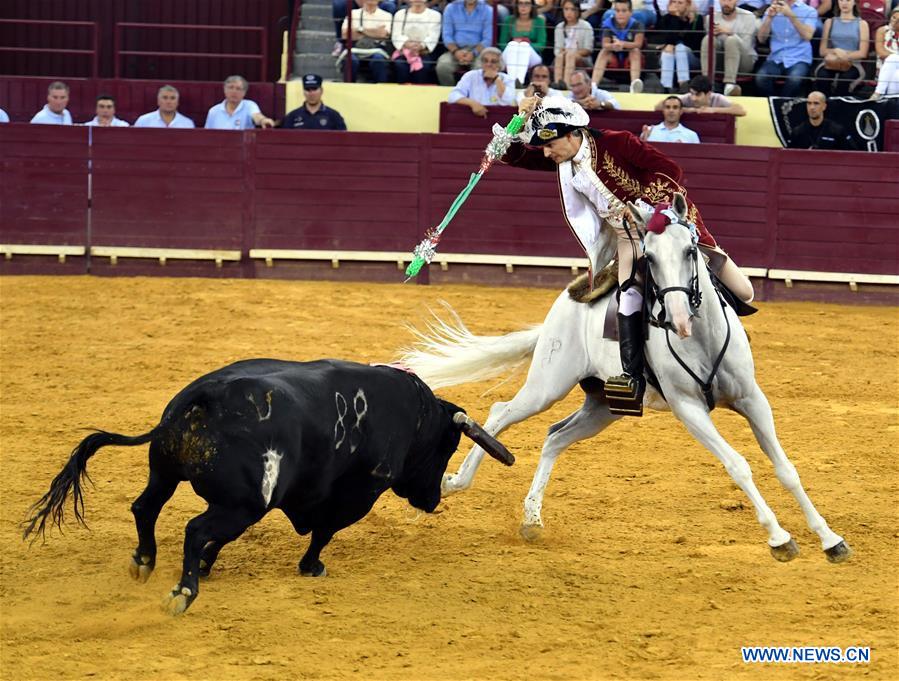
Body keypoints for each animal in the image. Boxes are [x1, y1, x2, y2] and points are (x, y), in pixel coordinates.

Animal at [22, 358, 512, 612]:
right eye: (447, 447)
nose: (433, 499)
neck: (410, 413)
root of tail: (204, 396)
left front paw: (207, 565)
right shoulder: (358, 496)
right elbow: (323, 532)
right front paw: (312, 566)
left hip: (167, 474)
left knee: (146, 508)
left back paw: (145, 561)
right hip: (241, 504)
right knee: (194, 529)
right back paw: (183, 592)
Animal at [404, 193, 856, 564]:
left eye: (691, 250)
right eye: (648, 259)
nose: (677, 319)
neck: (703, 338)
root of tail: (566, 303)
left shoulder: (753, 400)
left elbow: (786, 468)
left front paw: (830, 539)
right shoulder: (689, 409)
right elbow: (738, 465)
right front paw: (780, 538)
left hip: (605, 406)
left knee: (555, 437)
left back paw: (532, 519)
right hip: (549, 383)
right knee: (503, 412)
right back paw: (455, 481)